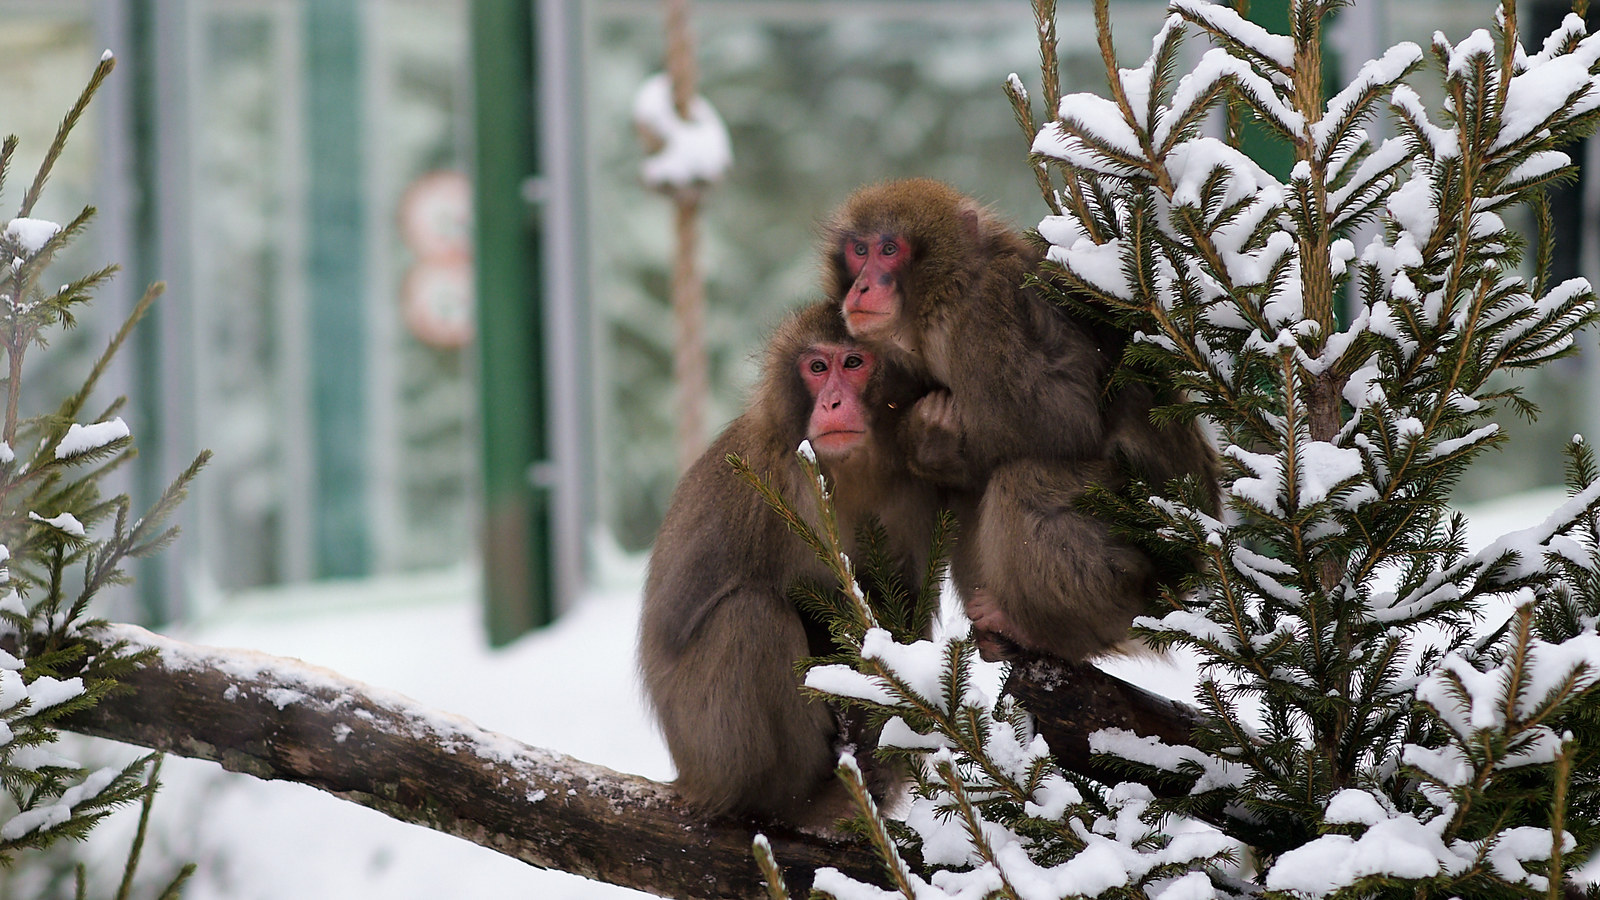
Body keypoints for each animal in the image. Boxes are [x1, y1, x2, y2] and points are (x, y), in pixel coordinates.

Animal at [633, 296, 940, 819]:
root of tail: (689, 776)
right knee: (752, 617)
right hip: (708, 746)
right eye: (817, 368)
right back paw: (791, 798)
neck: (849, 471)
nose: (833, 402)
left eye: (852, 363)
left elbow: (903, 627)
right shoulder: (765, 475)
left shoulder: (919, 494)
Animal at [819, 178, 1216, 662]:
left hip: (1133, 568)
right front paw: (928, 445)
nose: (860, 287)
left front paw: (927, 440)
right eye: (860, 250)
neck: (944, 297)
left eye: (889, 249)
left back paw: (1041, 630)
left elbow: (1064, 421)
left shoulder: (984, 317)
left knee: (1023, 479)